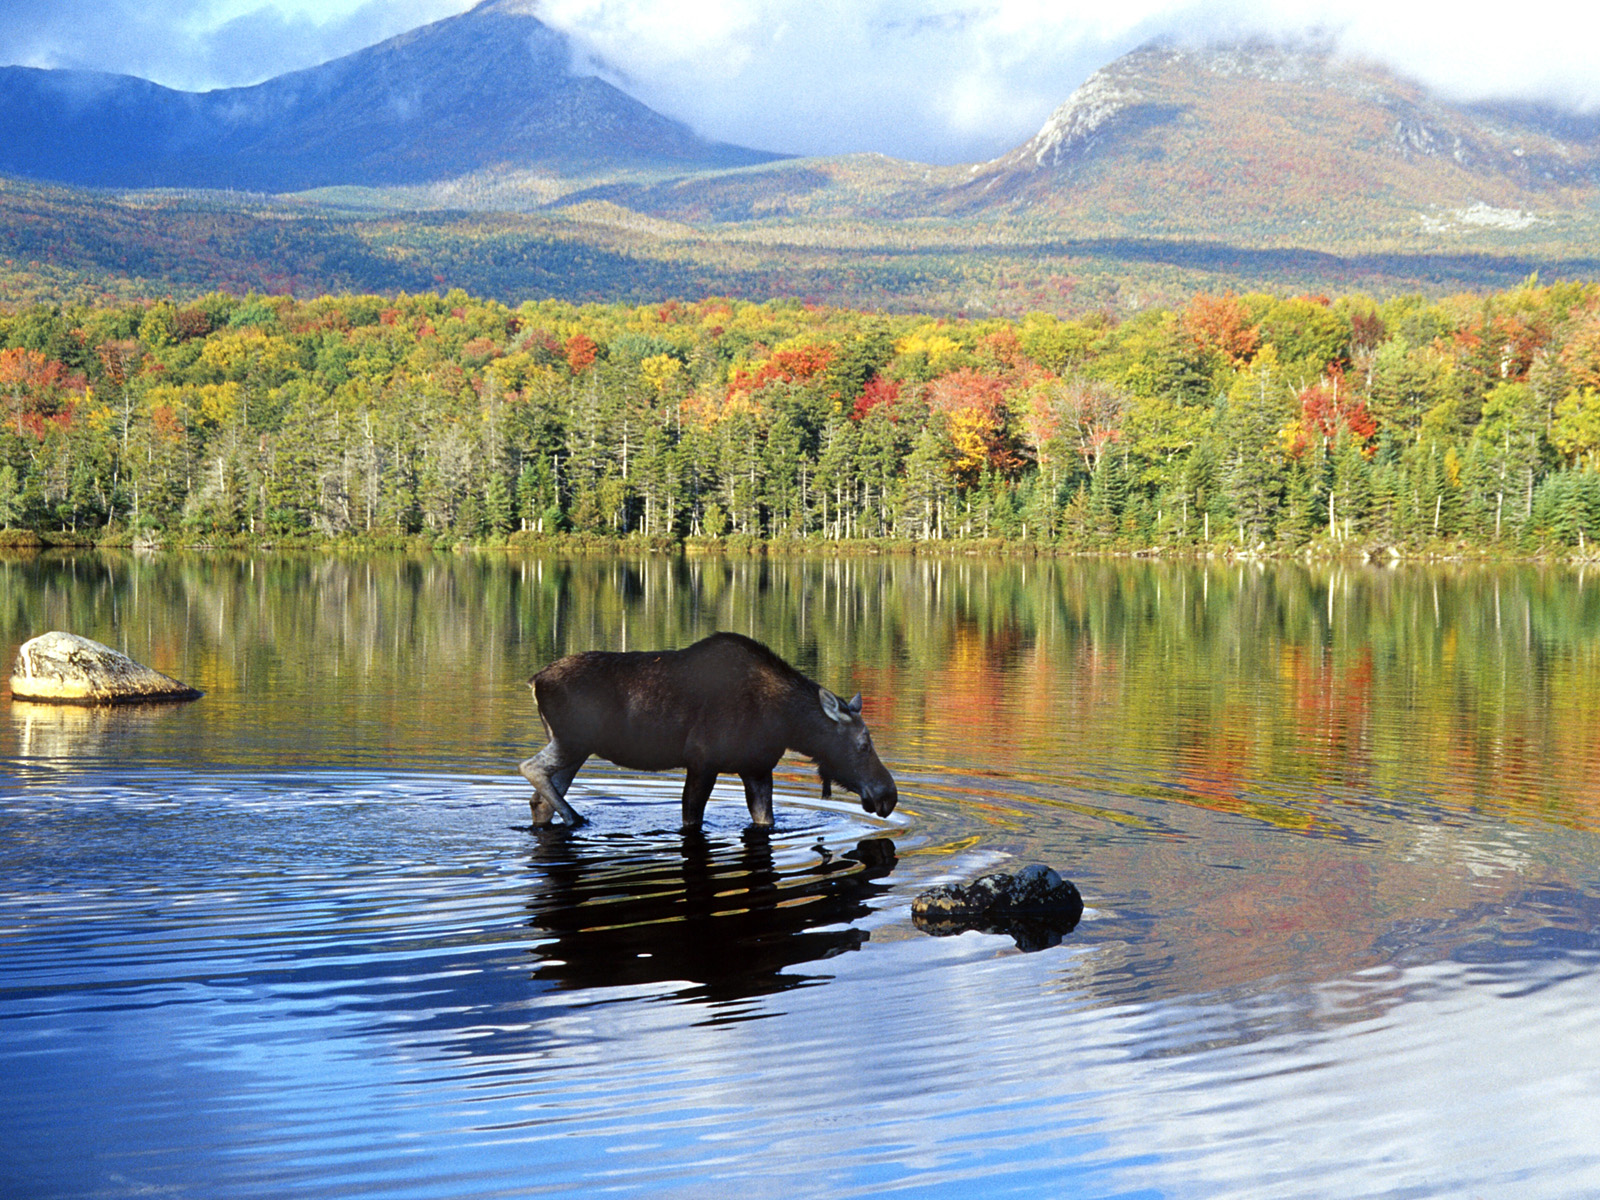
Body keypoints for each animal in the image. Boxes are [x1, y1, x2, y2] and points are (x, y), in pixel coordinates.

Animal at [524, 633, 902, 832]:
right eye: (864, 744)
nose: (889, 795)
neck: (787, 723)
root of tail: (535, 681)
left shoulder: (757, 768)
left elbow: (765, 819)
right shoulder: (702, 761)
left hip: (575, 747)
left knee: (541, 799)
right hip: (572, 740)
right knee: (530, 768)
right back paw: (576, 816)